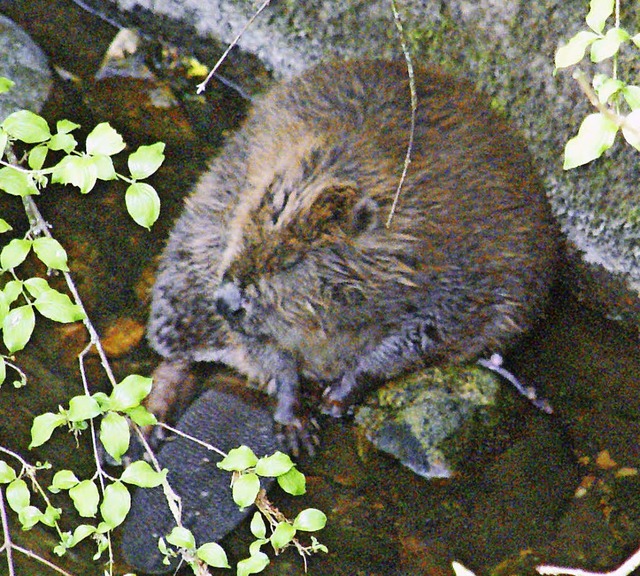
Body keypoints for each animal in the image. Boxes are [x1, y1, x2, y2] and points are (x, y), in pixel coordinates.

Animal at [146, 59, 560, 454]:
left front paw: (335, 398)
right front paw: (294, 416)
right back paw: (152, 424)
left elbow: (421, 336)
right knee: (177, 351)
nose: (226, 300)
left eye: (290, 261)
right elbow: (263, 347)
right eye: (241, 231)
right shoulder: (222, 224)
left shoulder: (461, 275)